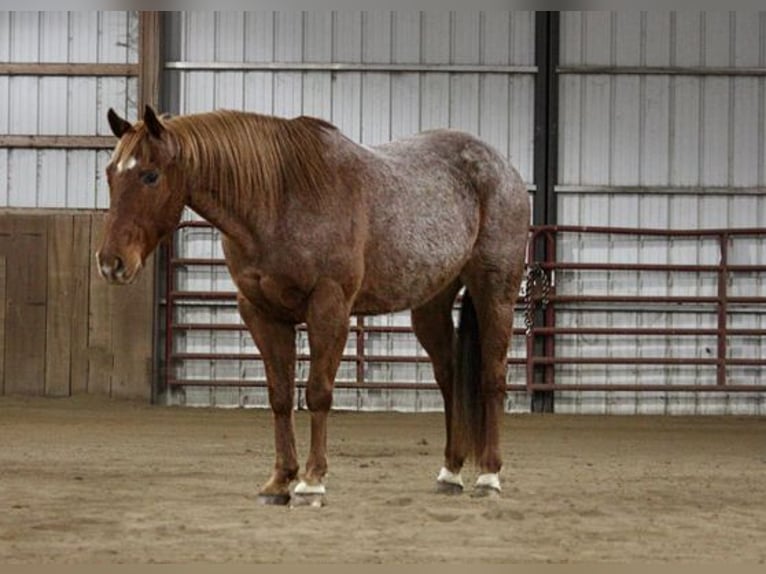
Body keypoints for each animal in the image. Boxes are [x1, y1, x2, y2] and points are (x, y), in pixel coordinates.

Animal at [99, 104, 532, 508]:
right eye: (110, 173)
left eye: (150, 175)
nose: (111, 262)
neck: (279, 198)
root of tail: (503, 169)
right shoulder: (262, 314)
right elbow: (280, 396)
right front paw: (279, 482)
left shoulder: (329, 308)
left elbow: (318, 393)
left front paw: (311, 481)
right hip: (430, 305)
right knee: (450, 379)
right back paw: (450, 472)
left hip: (496, 294)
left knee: (492, 378)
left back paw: (489, 476)